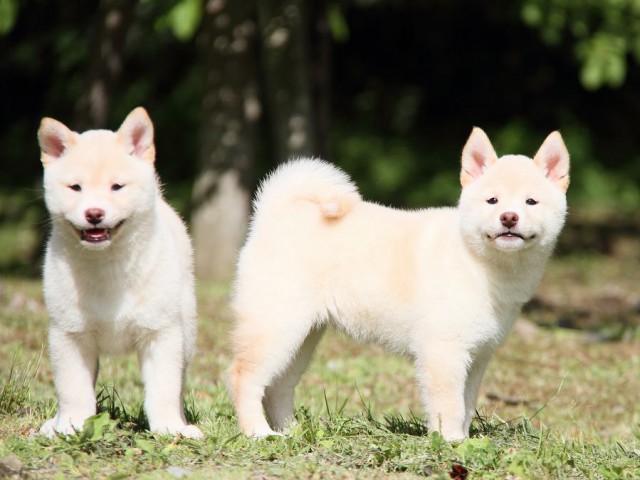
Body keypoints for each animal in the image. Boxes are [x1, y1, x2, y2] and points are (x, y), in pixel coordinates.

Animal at [38, 106, 202, 438]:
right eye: (76, 188)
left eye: (117, 187)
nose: (94, 213)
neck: (107, 265)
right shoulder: (69, 334)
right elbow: (73, 390)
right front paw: (72, 425)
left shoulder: (161, 333)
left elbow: (164, 389)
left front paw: (169, 428)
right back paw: (54, 423)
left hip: (186, 328)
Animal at [228, 126, 568, 438]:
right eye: (492, 200)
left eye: (531, 202)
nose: (509, 217)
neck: (479, 264)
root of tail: (274, 214)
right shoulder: (444, 351)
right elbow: (449, 406)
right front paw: (450, 443)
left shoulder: (478, 356)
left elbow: (467, 406)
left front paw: (463, 441)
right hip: (277, 325)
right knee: (244, 377)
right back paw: (258, 432)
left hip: (303, 336)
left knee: (279, 386)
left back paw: (292, 432)